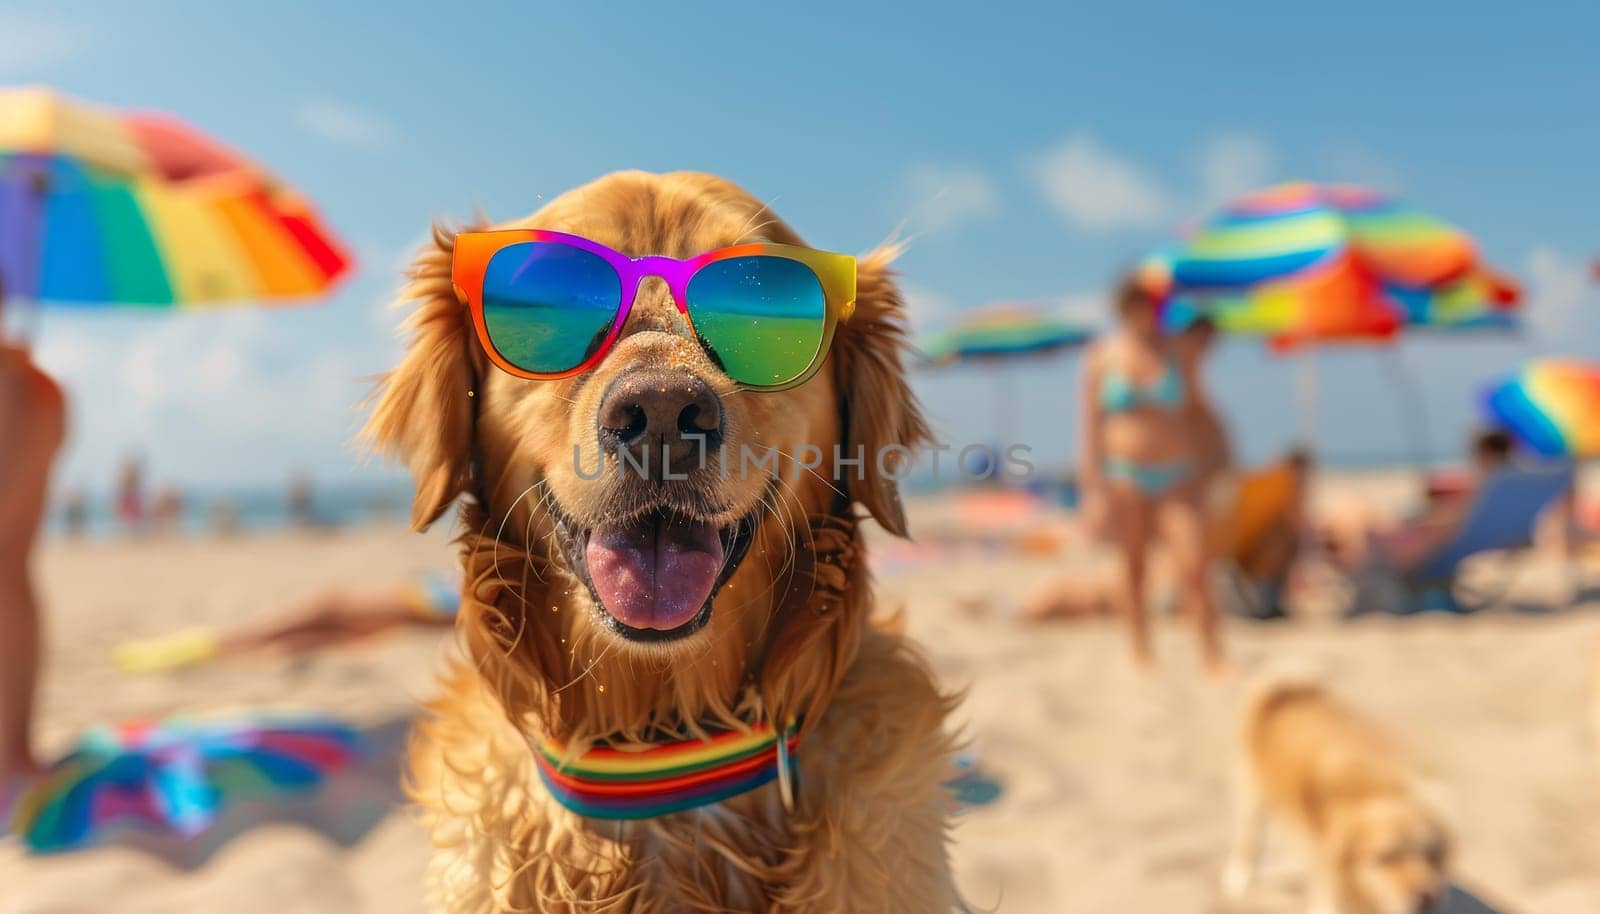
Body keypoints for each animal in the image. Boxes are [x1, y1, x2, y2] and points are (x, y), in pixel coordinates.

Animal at [1222, 678, 1452, 914]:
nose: (1427, 897)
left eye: (1429, 855)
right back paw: (1237, 880)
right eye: (1385, 857)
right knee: (1248, 844)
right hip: (1251, 798)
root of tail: (1288, 690)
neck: (1369, 792)